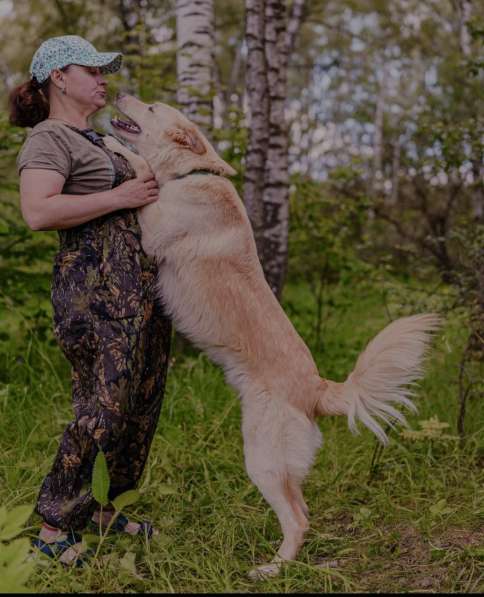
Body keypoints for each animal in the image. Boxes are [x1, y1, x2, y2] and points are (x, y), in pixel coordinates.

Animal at [104, 93, 440, 576]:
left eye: (150, 107)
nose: (119, 93)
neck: (192, 174)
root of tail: (318, 389)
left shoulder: (151, 230)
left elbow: (141, 168)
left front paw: (120, 150)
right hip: (278, 464)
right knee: (303, 510)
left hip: (261, 457)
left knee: (298, 520)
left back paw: (271, 569)